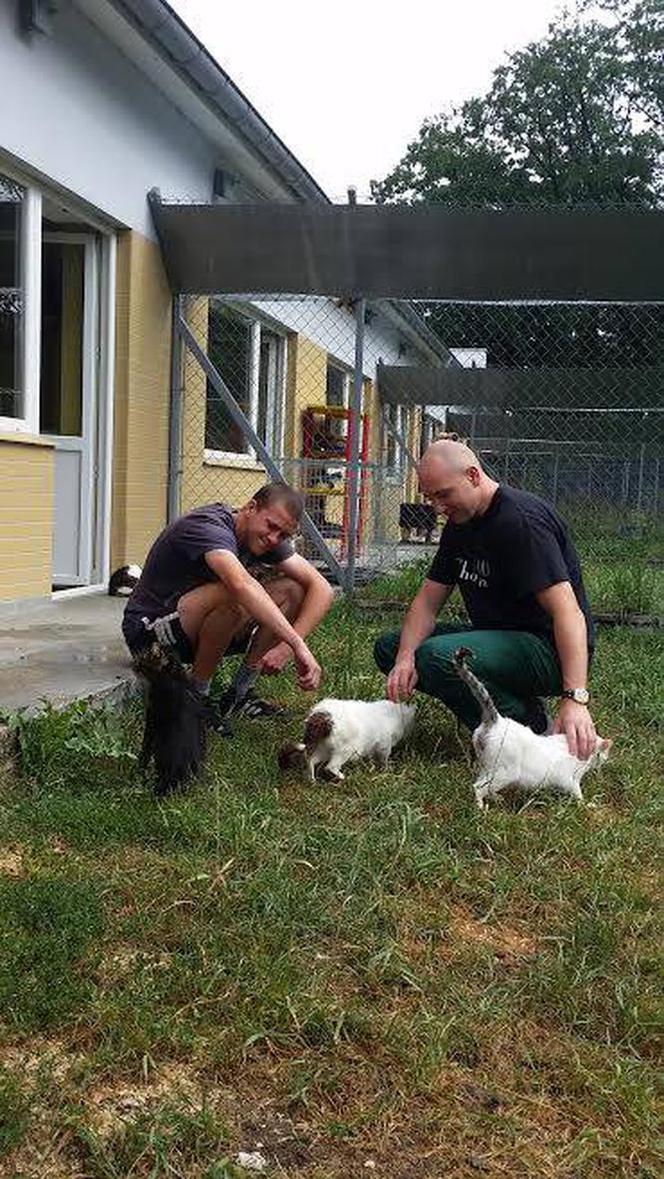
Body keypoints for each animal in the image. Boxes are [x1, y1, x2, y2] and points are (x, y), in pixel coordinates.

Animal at [279, 697, 415, 782]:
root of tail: (319, 718)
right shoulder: (384, 744)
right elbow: (383, 759)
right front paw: (386, 769)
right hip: (345, 750)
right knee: (330, 766)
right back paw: (342, 777)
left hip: (323, 748)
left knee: (310, 759)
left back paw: (311, 779)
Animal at [452, 646, 613, 811]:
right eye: (604, 754)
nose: (604, 762)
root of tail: (496, 720)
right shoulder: (570, 780)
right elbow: (578, 795)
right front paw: (586, 805)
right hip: (505, 773)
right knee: (478, 787)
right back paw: (480, 808)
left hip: (486, 766)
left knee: (483, 784)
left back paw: (495, 798)